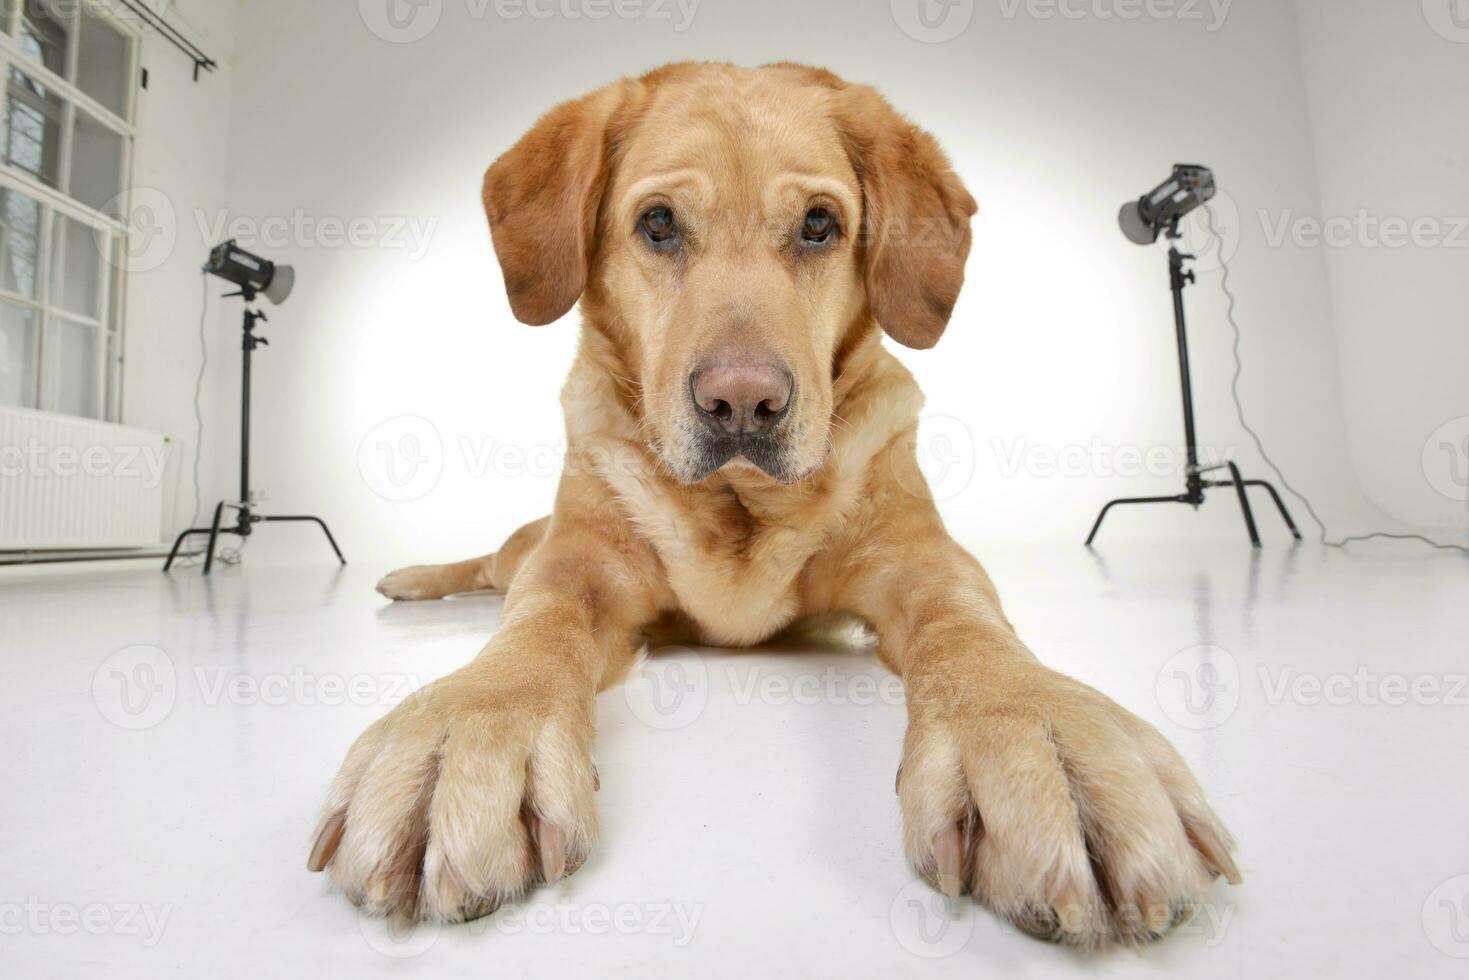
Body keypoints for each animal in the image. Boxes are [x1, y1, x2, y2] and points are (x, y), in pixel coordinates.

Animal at [307, 59, 1239, 940]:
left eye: (818, 225)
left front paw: (1039, 729)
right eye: (658, 224)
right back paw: (411, 581)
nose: (742, 402)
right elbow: (537, 625)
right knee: (497, 562)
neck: (740, 501)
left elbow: (968, 628)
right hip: (524, 543)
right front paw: (466, 728)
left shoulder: (922, 557)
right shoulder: (577, 563)